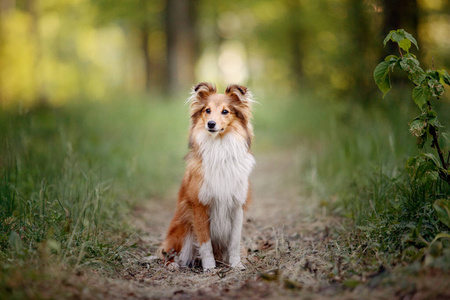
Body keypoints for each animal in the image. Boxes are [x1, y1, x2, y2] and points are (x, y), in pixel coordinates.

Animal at [160, 82, 255, 272]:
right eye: (207, 110)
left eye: (225, 111)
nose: (211, 124)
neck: (220, 147)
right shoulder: (199, 207)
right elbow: (205, 243)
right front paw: (210, 268)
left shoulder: (237, 206)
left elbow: (234, 242)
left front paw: (237, 265)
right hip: (182, 229)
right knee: (168, 252)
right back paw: (173, 264)